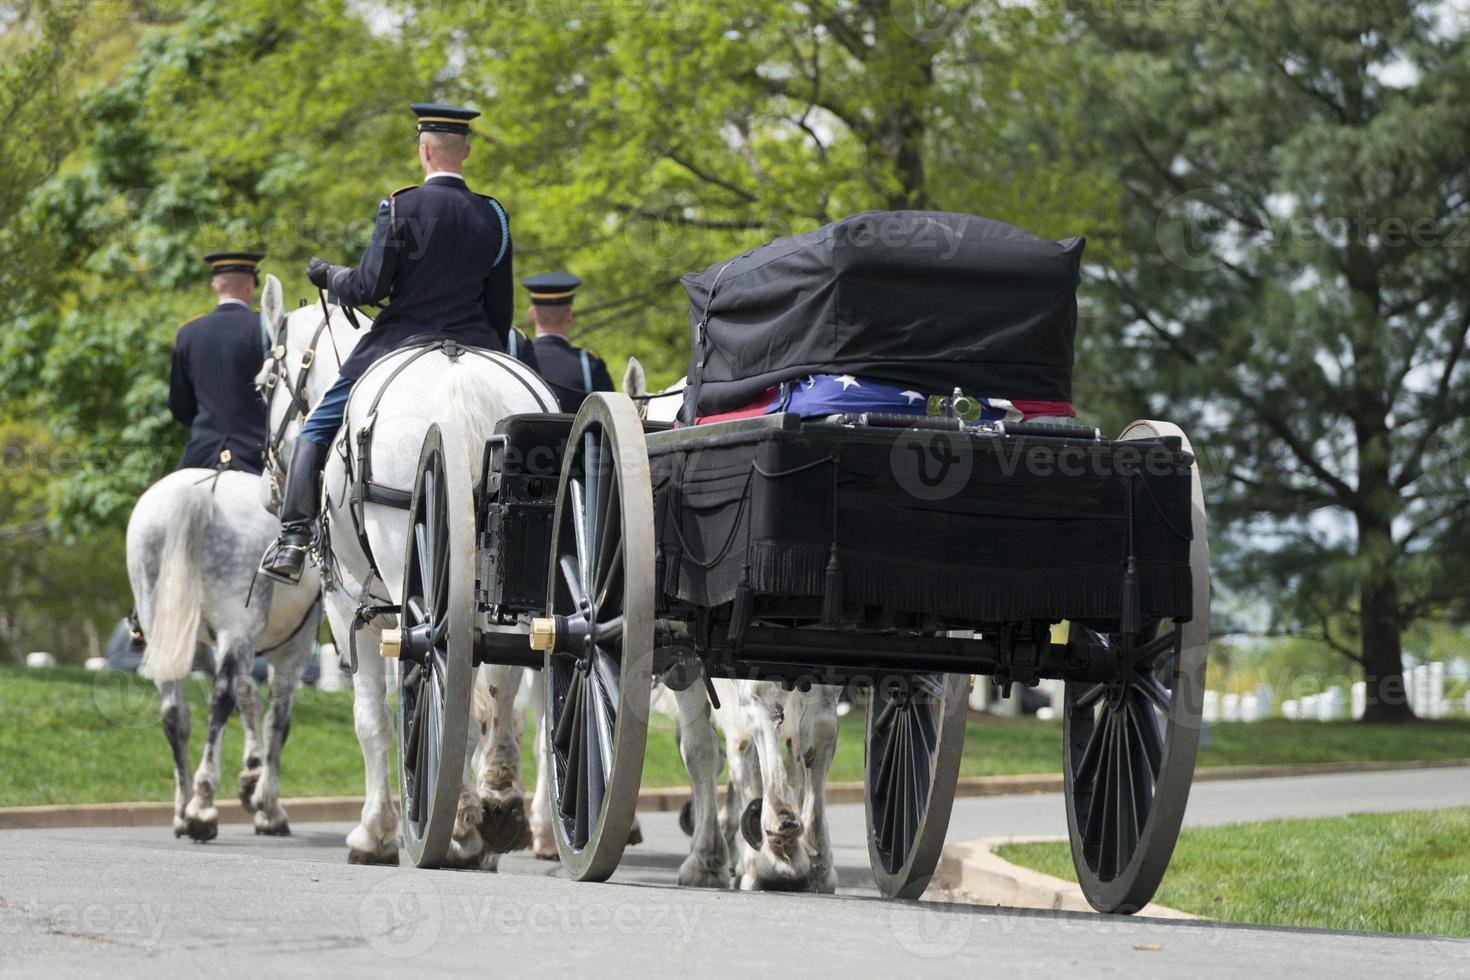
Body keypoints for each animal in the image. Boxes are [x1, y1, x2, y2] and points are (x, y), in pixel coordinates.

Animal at [126, 276, 321, 846]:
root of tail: (200, 494)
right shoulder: (291, 644)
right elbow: (276, 714)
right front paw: (267, 803)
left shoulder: (229, 638)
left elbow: (247, 695)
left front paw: (251, 776)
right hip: (237, 625)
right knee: (217, 702)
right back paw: (203, 807)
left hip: (165, 621)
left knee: (176, 708)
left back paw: (182, 808)